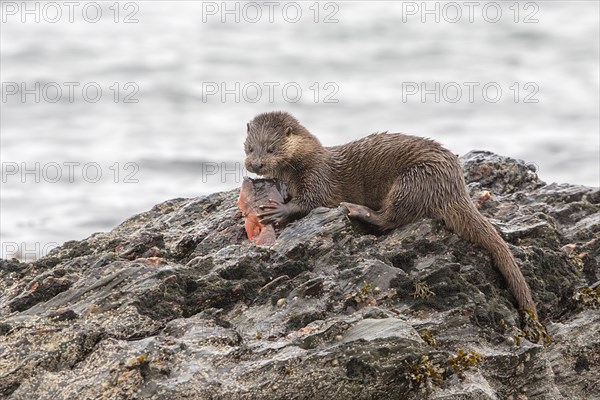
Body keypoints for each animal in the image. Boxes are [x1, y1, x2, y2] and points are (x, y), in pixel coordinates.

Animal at [244, 110, 540, 316]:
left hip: (412, 181)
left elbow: (311, 201)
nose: (256, 164)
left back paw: (357, 210)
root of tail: (455, 186)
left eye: (271, 148)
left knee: (391, 218)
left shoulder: (319, 177)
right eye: (249, 147)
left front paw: (278, 210)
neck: (301, 164)